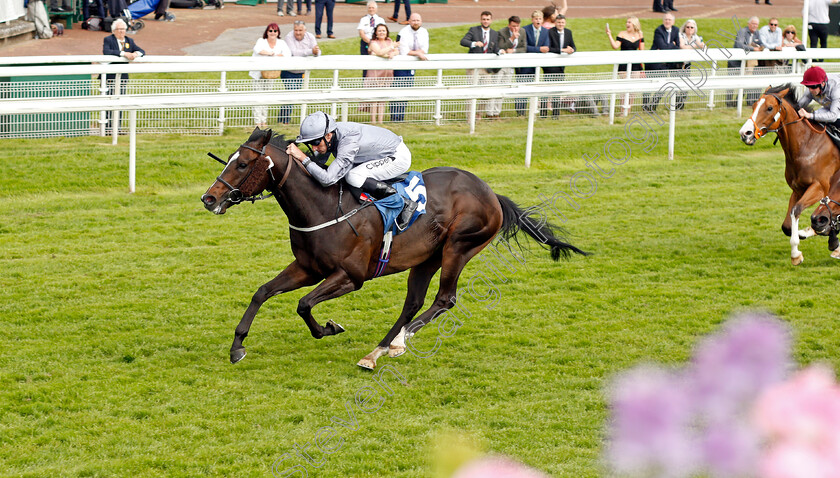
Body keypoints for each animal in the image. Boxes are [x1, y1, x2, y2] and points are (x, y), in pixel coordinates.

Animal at [200, 128, 588, 370]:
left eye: (243, 164)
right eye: (229, 159)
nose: (209, 199)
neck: (323, 207)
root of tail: (491, 193)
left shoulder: (351, 276)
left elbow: (304, 304)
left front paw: (329, 328)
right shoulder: (308, 268)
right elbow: (262, 292)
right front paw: (237, 347)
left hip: (458, 248)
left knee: (444, 300)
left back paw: (399, 343)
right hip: (426, 257)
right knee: (413, 303)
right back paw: (377, 352)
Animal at [740, 85, 840, 266]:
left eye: (769, 108)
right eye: (754, 106)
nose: (745, 133)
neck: (806, 145)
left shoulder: (819, 188)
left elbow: (796, 210)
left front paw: (796, 254)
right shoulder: (798, 189)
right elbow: (787, 226)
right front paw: (804, 234)